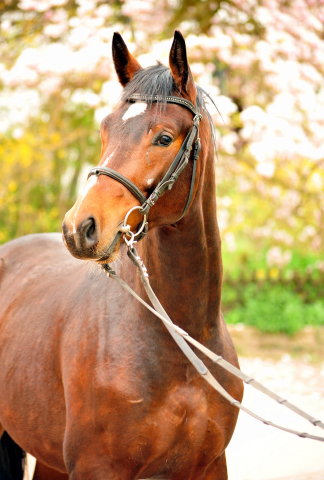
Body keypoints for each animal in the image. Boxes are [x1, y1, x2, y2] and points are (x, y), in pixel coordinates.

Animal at [0, 31, 243, 478]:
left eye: (163, 138)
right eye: (105, 129)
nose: (79, 227)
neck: (181, 343)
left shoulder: (210, 466)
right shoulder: (98, 467)